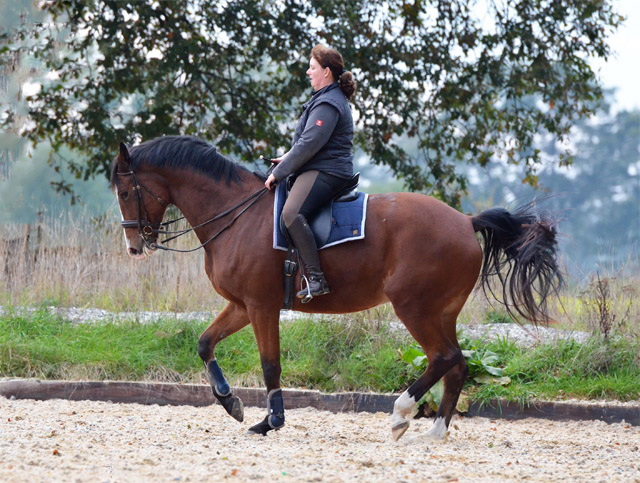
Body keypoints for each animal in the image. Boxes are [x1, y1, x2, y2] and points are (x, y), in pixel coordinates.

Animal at [110, 136, 560, 442]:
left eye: (126, 191)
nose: (134, 246)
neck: (237, 216)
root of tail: (466, 222)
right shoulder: (241, 305)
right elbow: (205, 343)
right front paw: (231, 403)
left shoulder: (261, 305)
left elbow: (270, 364)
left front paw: (271, 421)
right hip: (442, 311)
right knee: (458, 364)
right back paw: (432, 433)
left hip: (414, 308)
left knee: (443, 357)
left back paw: (401, 414)